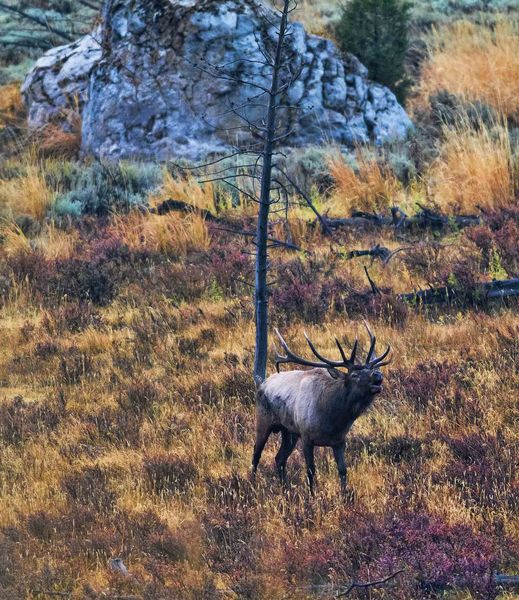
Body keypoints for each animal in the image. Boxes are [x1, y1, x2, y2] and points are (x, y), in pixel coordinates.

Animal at [254, 324, 392, 492]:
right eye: (354, 375)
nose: (377, 375)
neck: (333, 420)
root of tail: (262, 383)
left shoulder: (339, 441)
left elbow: (343, 470)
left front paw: (345, 495)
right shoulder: (306, 437)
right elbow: (310, 470)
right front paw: (312, 495)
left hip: (289, 432)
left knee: (279, 458)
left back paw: (285, 489)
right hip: (263, 420)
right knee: (256, 455)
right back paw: (252, 484)